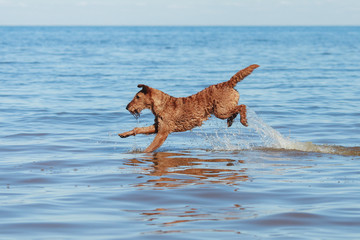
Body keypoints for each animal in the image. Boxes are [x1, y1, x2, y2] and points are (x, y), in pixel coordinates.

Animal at [120, 64, 258, 152]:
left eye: (137, 97)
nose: (127, 107)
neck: (161, 105)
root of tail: (228, 83)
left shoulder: (163, 132)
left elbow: (150, 148)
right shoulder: (157, 127)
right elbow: (138, 129)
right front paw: (124, 134)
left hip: (220, 111)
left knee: (242, 106)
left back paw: (243, 120)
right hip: (222, 110)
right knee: (236, 109)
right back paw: (231, 121)